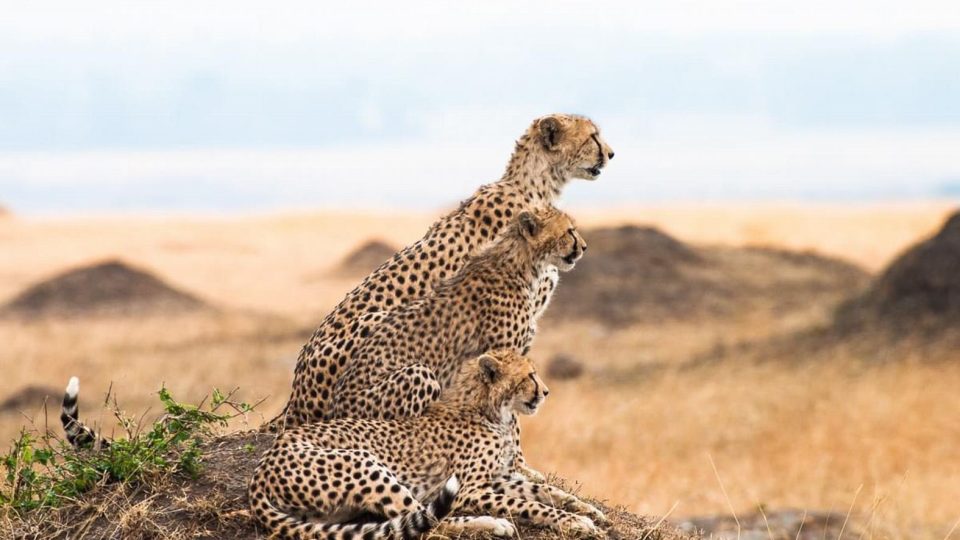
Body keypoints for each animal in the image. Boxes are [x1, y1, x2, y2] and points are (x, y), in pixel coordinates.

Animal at [249, 348, 608, 536]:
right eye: (529, 376)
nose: (546, 392)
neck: (489, 409)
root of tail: (260, 471)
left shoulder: (499, 477)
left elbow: (544, 490)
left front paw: (586, 509)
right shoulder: (471, 488)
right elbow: (529, 504)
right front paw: (575, 521)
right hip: (365, 464)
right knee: (432, 522)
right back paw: (491, 523)